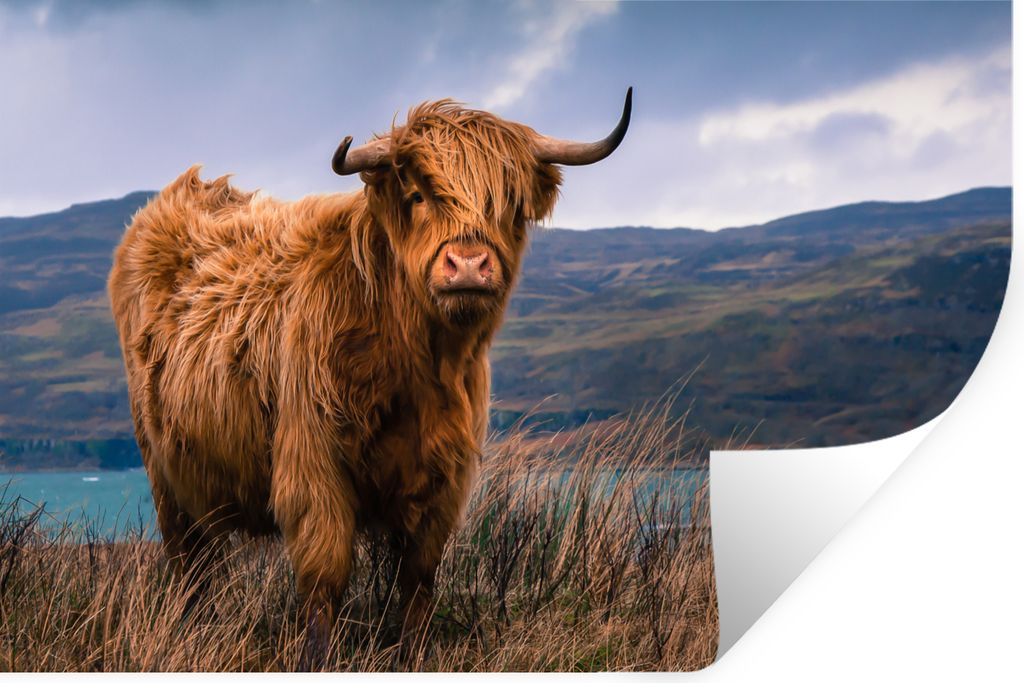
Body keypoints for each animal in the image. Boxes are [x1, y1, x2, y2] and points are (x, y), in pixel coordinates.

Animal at [108, 89, 631, 662]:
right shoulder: (313, 465)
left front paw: (416, 652)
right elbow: (324, 576)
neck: (417, 365)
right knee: (188, 563)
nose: (469, 265)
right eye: (419, 194)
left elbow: (419, 578)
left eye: (508, 203)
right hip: (164, 473)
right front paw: (317, 658)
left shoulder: (443, 479)